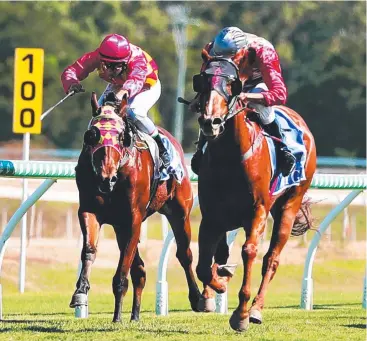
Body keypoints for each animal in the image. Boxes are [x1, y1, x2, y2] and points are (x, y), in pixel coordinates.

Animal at [71, 91, 201, 320]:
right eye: (92, 135)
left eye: (122, 136)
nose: (107, 178)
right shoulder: (90, 211)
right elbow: (89, 250)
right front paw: (80, 293)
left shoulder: (134, 218)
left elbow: (123, 267)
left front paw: (116, 317)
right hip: (120, 227)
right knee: (139, 269)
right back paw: (134, 315)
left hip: (180, 212)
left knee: (184, 255)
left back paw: (198, 299)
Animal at [191, 55, 318, 330]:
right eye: (202, 80)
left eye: (232, 84)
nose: (210, 122)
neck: (228, 157)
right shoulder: (211, 216)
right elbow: (205, 264)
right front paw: (216, 288)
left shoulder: (257, 210)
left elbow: (249, 251)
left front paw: (241, 314)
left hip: (289, 205)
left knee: (272, 259)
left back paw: (256, 309)